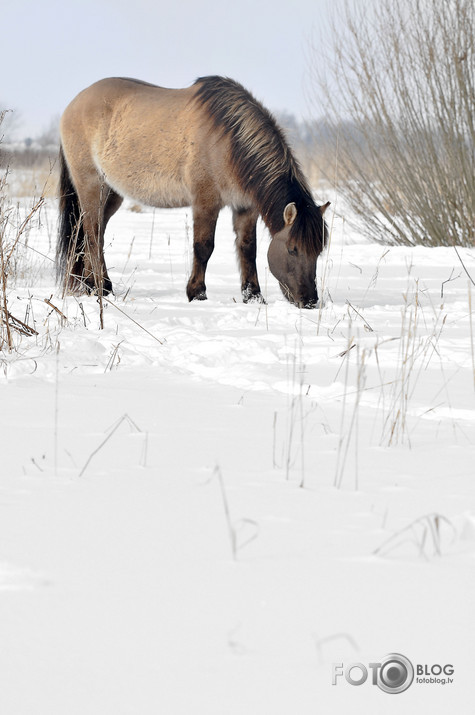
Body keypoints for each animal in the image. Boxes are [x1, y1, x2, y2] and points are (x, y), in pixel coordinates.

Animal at [56, 77, 330, 310]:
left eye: (319, 250)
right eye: (293, 249)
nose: (309, 301)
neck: (227, 141)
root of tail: (72, 105)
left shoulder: (244, 207)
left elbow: (247, 249)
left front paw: (253, 296)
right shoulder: (205, 202)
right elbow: (204, 247)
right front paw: (197, 293)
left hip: (112, 194)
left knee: (95, 233)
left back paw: (92, 285)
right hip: (92, 186)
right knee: (92, 234)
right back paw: (101, 287)